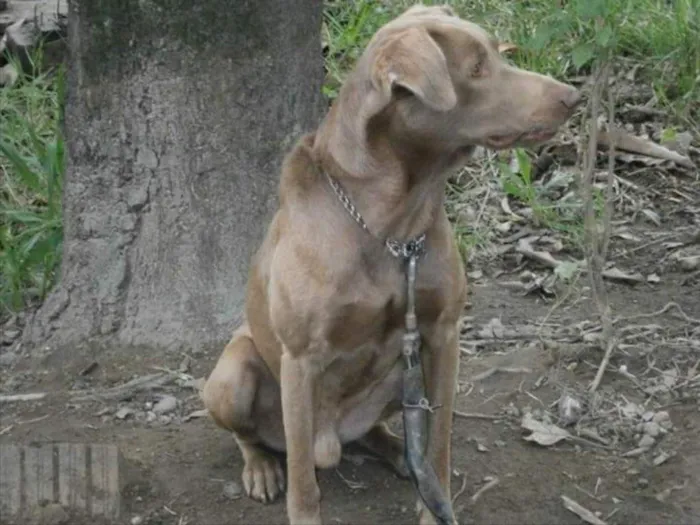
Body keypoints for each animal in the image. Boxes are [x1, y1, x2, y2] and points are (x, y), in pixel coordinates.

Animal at [201, 5, 580, 524]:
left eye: (497, 54)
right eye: (476, 68)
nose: (572, 97)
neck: (393, 225)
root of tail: (334, 438)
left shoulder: (442, 335)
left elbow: (439, 443)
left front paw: (435, 506)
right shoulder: (300, 358)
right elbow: (303, 480)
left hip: (404, 372)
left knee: (378, 432)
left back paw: (401, 453)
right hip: (233, 375)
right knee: (256, 438)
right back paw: (261, 467)